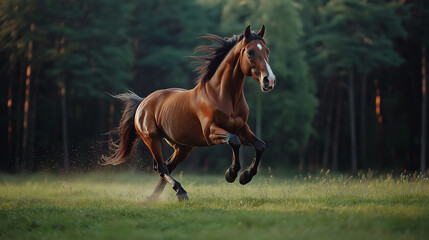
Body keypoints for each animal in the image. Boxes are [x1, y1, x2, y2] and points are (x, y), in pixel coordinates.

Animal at [100, 25, 276, 201]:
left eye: (267, 51)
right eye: (250, 52)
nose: (270, 80)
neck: (222, 96)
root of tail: (143, 102)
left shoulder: (241, 128)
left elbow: (260, 145)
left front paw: (245, 176)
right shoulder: (211, 132)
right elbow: (234, 141)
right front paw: (231, 174)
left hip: (183, 147)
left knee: (167, 166)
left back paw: (156, 196)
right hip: (152, 139)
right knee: (161, 167)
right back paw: (180, 192)